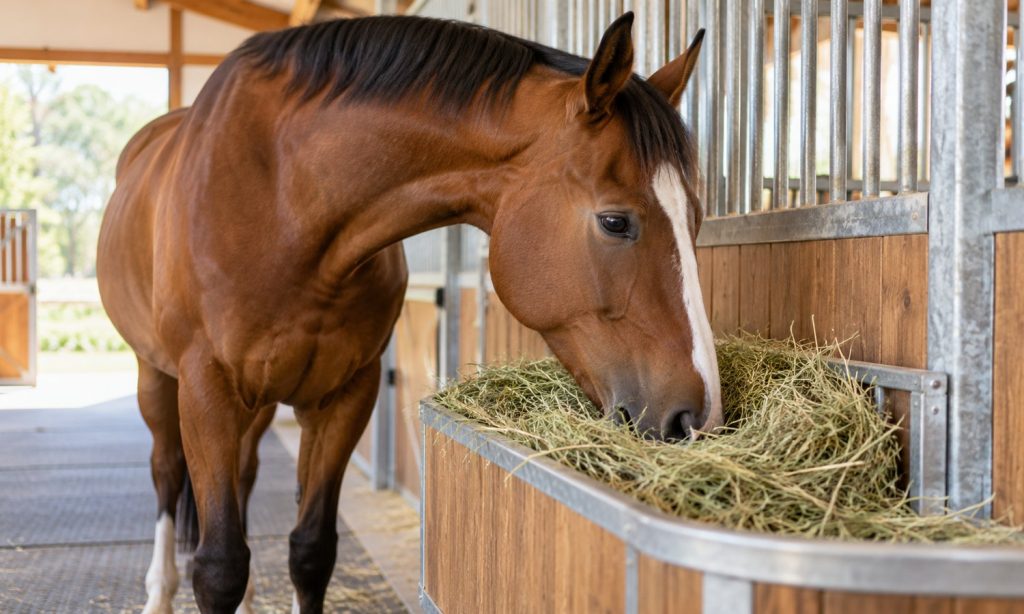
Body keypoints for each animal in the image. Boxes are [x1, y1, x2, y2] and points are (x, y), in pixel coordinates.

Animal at [97, 12, 718, 614]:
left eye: (696, 216)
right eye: (615, 221)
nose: (697, 417)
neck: (284, 196)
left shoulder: (347, 394)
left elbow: (311, 551)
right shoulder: (208, 391)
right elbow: (220, 567)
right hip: (159, 378)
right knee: (166, 472)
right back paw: (159, 593)